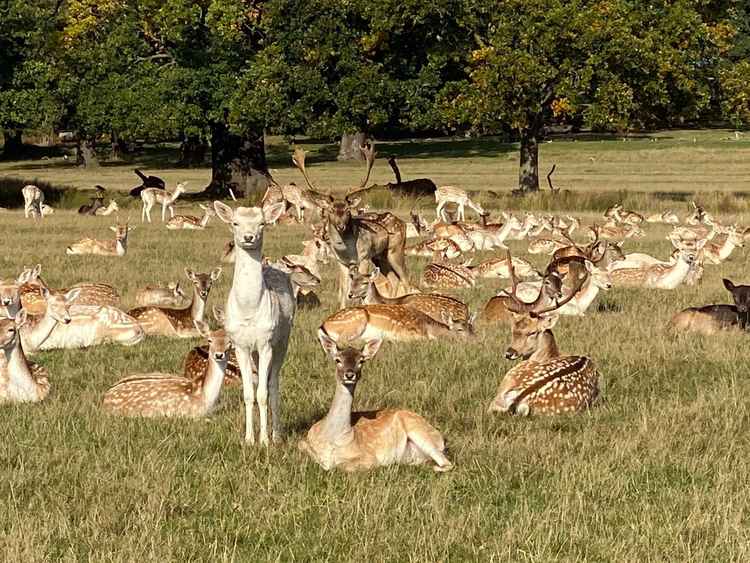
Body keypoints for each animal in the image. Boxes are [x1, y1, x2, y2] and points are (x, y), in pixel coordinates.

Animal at [213, 200, 296, 448]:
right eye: (234, 222)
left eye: (262, 223)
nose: (248, 237)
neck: (249, 310)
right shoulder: (240, 345)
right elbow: (249, 393)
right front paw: (249, 439)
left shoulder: (266, 342)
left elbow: (263, 394)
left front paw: (265, 440)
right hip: (255, 352)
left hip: (283, 340)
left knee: (273, 383)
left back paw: (277, 434)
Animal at [298, 332, 452, 474]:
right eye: (337, 360)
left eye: (361, 361)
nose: (350, 374)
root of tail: (441, 439)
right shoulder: (304, 442)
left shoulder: (369, 457)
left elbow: (338, 466)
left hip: (419, 431)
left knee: (446, 463)